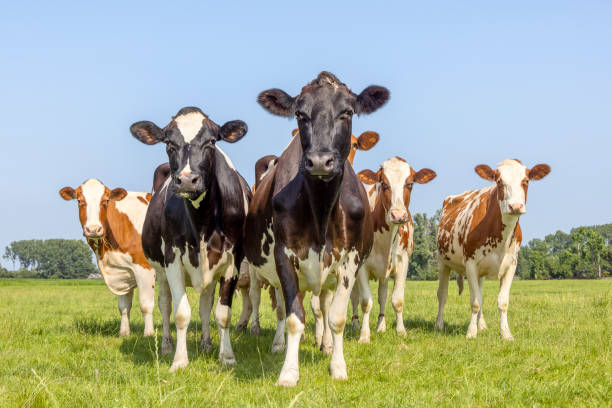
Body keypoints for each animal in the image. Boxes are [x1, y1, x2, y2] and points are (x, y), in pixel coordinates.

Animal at [59, 180, 155, 336]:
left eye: (105, 201)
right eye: (79, 201)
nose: (93, 229)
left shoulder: (145, 268)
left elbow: (146, 305)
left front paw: (149, 334)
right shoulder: (122, 271)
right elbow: (123, 306)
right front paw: (124, 333)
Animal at [130, 107, 250, 372]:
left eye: (212, 141)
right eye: (168, 143)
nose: (186, 180)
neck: (202, 221)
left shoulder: (232, 261)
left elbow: (221, 313)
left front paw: (227, 356)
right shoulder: (173, 259)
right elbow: (181, 313)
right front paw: (179, 360)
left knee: (205, 305)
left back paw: (206, 344)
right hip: (160, 270)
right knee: (165, 304)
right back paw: (166, 346)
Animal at [244, 71, 388, 388]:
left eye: (347, 112)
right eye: (300, 114)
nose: (320, 161)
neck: (322, 210)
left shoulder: (350, 260)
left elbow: (336, 317)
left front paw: (337, 366)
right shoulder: (284, 256)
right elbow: (293, 317)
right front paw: (288, 372)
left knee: (323, 303)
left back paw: (327, 344)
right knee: (282, 308)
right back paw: (279, 344)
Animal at [350, 158, 436, 342]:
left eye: (410, 184)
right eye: (383, 184)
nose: (398, 215)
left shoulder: (403, 262)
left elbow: (397, 300)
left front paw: (400, 330)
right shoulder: (362, 265)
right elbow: (365, 301)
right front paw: (364, 335)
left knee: (382, 295)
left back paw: (381, 325)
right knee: (354, 297)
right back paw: (355, 324)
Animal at [436, 159, 548, 342]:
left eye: (526, 181)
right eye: (499, 182)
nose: (515, 206)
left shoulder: (511, 265)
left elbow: (502, 302)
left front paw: (506, 333)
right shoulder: (471, 264)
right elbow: (474, 302)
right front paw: (471, 332)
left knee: (479, 293)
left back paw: (482, 325)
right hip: (442, 262)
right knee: (442, 295)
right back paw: (439, 325)